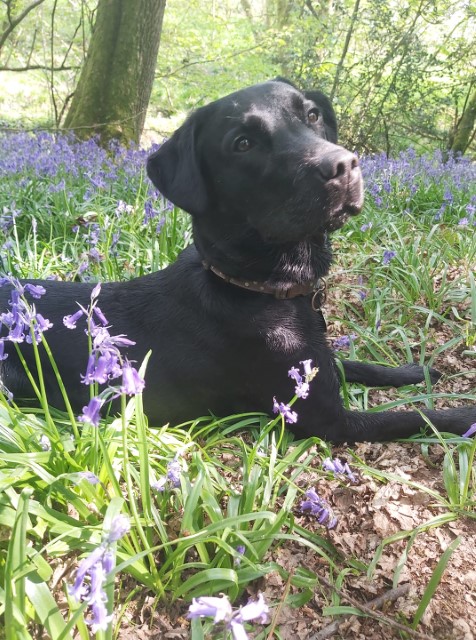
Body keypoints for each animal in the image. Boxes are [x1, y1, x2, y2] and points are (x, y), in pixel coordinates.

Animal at [0, 79, 474, 440]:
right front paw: (464, 414)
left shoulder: (315, 364)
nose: (343, 166)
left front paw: (416, 370)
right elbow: (417, 416)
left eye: (312, 115)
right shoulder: (327, 419)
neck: (258, 288)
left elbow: (355, 364)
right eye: (243, 144)